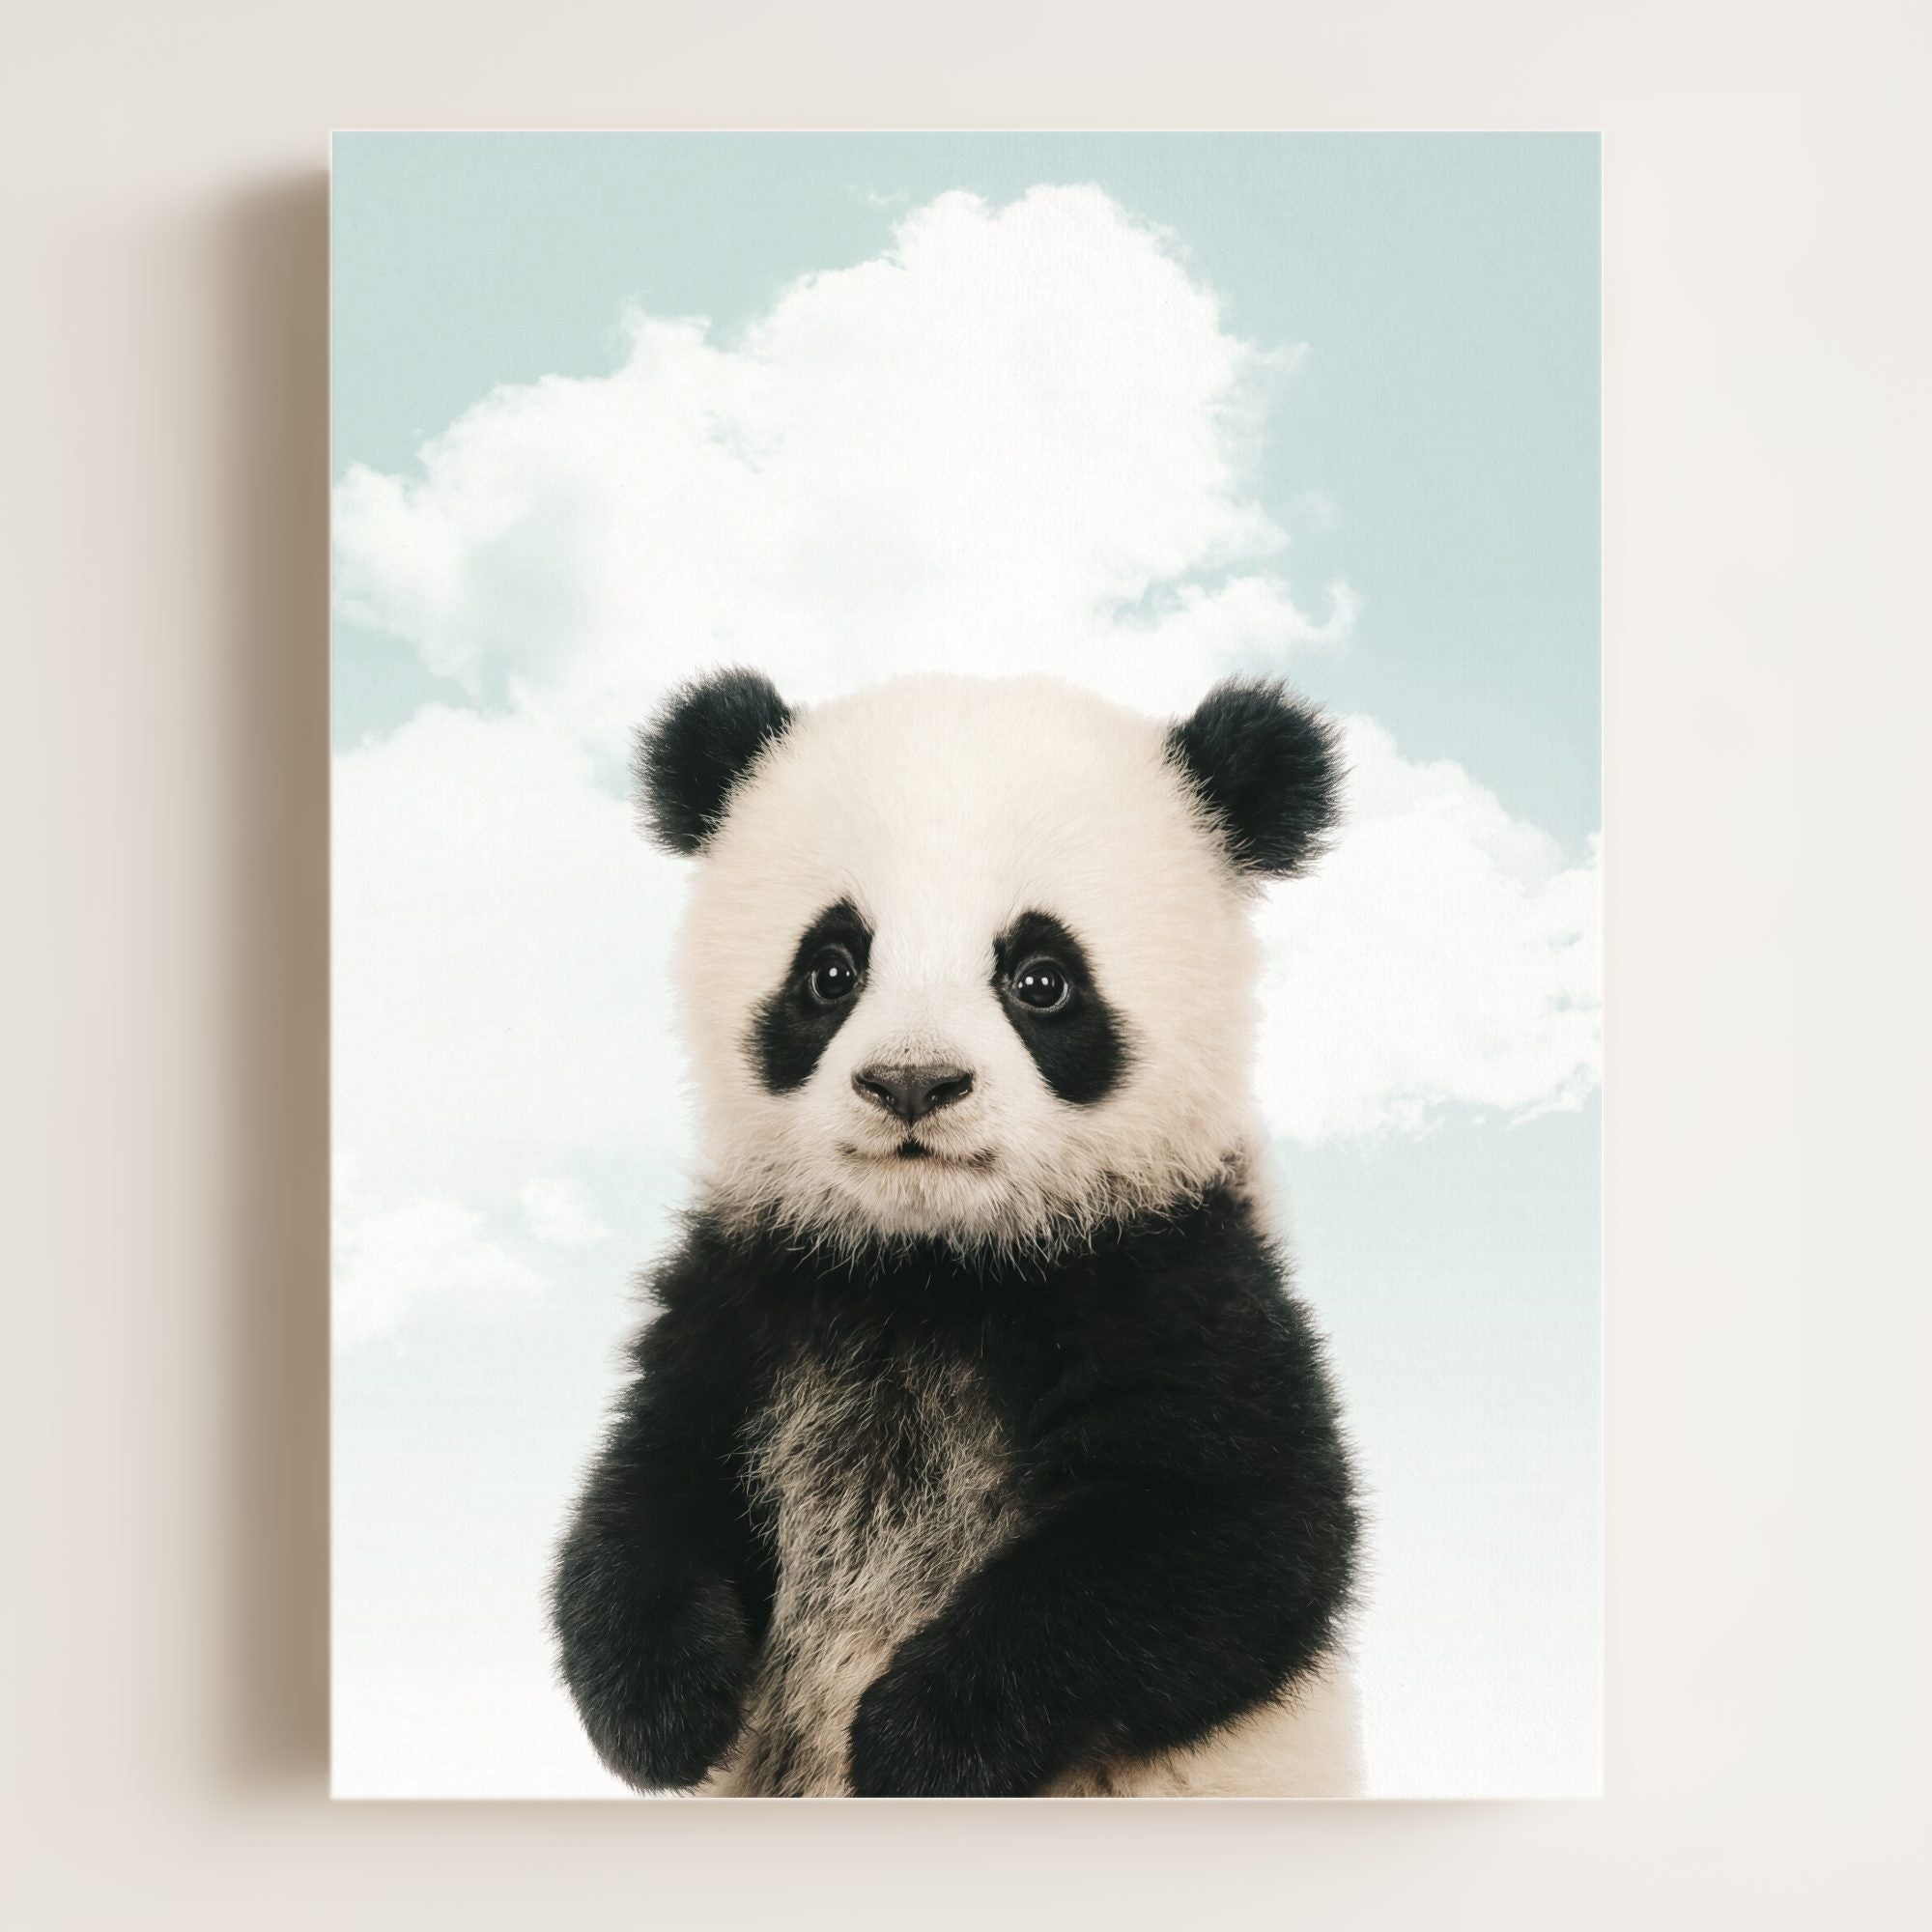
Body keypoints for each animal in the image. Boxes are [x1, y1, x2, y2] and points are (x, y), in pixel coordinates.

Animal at [551, 668, 1363, 1798]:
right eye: (831, 969)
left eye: (1041, 978)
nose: (911, 1082)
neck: (932, 1264)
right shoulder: (751, 1288)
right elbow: (650, 1488)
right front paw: (666, 1709)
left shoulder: (1174, 1277)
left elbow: (1233, 1539)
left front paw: (917, 1739)